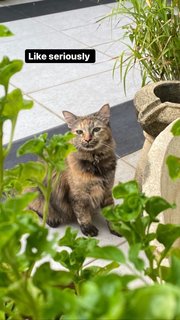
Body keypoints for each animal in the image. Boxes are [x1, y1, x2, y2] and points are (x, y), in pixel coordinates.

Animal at [29, 104, 116, 236]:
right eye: (79, 132)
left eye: (96, 129)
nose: (87, 139)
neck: (94, 161)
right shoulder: (78, 195)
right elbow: (83, 214)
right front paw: (88, 229)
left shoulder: (107, 190)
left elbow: (111, 212)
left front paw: (117, 228)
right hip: (37, 192)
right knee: (37, 209)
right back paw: (52, 219)